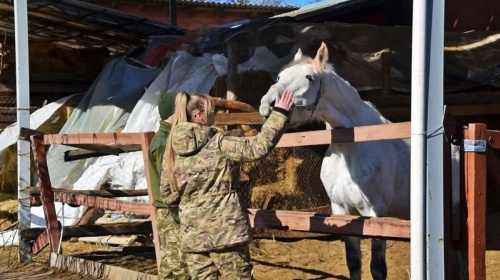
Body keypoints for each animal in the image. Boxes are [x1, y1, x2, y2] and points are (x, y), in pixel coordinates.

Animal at [260, 41, 412, 280]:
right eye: (279, 76)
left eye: (310, 77)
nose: (268, 105)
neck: (351, 146)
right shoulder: (341, 210)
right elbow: (354, 262)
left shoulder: (376, 213)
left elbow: (378, 268)